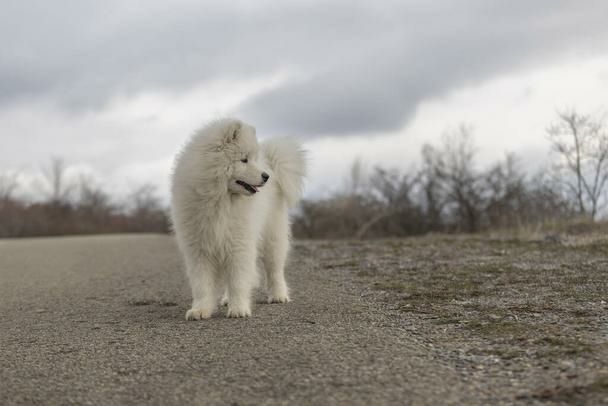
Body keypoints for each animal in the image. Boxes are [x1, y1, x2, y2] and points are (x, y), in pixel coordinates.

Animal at [170, 118, 304, 320]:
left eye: (251, 159)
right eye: (244, 159)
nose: (266, 176)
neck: (220, 199)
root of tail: (271, 164)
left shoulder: (239, 243)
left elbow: (238, 280)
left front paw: (239, 309)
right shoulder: (199, 248)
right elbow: (202, 285)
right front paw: (200, 310)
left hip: (273, 237)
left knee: (275, 270)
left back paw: (279, 296)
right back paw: (226, 299)